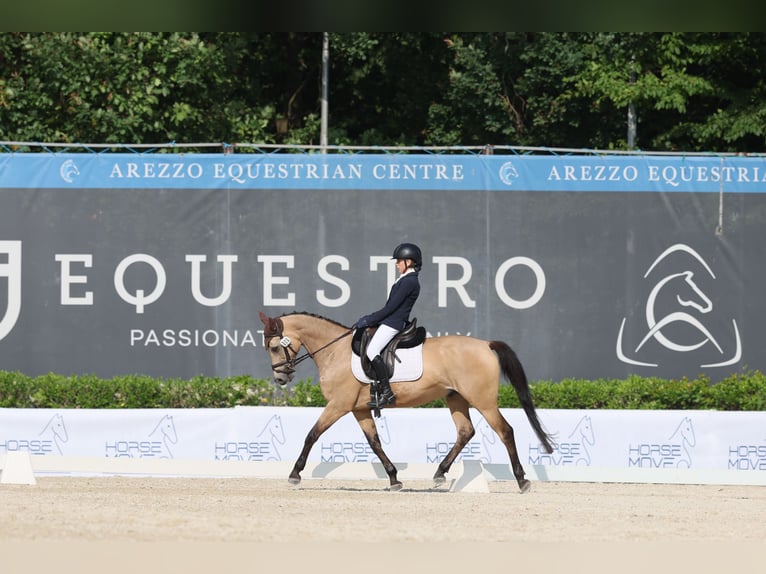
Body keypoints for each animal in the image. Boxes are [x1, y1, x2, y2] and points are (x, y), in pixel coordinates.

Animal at [258, 311, 555, 493]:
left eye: (274, 347)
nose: (280, 378)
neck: (334, 352)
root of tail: (486, 344)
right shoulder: (359, 409)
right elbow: (375, 443)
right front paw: (393, 478)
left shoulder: (338, 405)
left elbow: (312, 434)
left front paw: (295, 474)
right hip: (456, 398)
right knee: (465, 431)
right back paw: (439, 474)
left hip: (482, 400)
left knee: (505, 431)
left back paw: (522, 480)